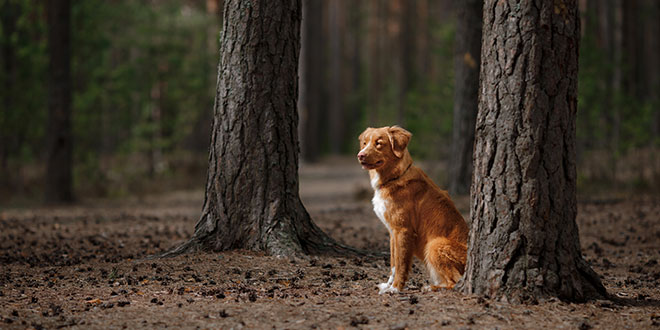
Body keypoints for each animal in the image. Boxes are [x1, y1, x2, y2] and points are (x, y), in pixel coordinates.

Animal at [356, 125, 470, 294]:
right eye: (364, 143)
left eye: (378, 143)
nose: (360, 155)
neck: (394, 178)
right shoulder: (392, 232)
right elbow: (393, 263)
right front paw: (388, 285)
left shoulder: (403, 230)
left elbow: (401, 263)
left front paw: (396, 288)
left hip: (435, 244)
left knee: (454, 282)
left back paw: (431, 287)